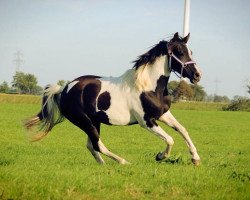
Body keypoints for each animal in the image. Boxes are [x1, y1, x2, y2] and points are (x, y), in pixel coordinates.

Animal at [24, 31, 202, 166]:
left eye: (191, 52)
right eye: (180, 52)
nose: (197, 75)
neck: (148, 87)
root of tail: (64, 89)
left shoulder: (163, 114)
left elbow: (182, 129)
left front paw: (195, 159)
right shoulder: (146, 122)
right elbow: (170, 139)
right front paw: (160, 156)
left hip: (94, 121)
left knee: (91, 145)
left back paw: (103, 165)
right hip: (84, 121)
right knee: (98, 145)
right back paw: (123, 162)